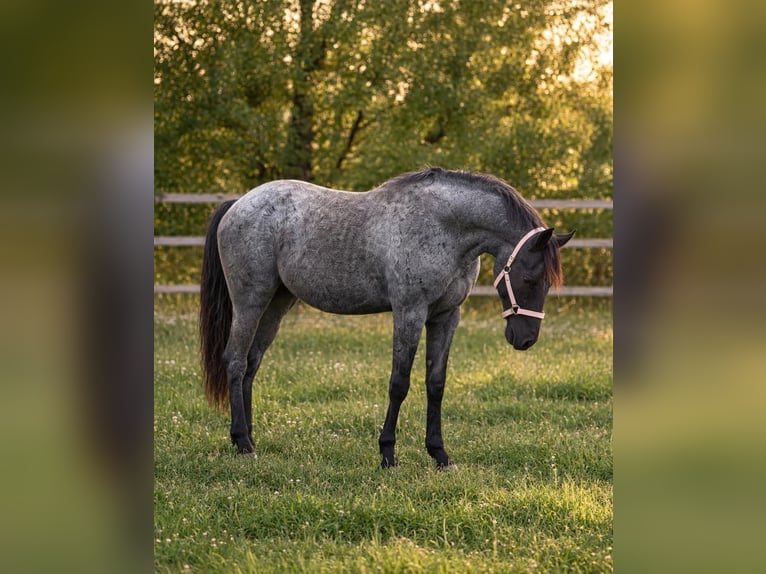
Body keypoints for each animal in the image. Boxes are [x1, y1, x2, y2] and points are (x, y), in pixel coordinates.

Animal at [199, 167, 574, 468]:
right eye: (530, 278)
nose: (525, 339)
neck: (444, 226)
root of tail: (239, 203)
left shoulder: (446, 317)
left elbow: (435, 384)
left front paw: (439, 454)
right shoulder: (409, 312)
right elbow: (399, 383)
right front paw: (388, 453)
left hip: (276, 303)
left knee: (251, 363)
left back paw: (249, 437)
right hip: (250, 300)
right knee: (235, 360)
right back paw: (242, 442)